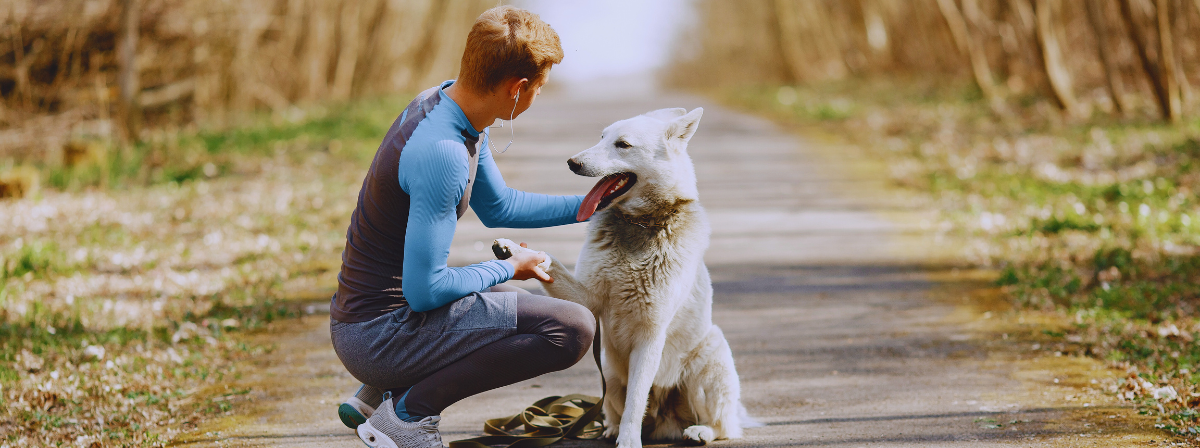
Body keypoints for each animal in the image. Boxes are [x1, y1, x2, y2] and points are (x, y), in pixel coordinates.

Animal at [494, 108, 748, 446]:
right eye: (601, 137)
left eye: (623, 144)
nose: (572, 162)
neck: (640, 224)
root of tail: (665, 422)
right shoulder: (588, 299)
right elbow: (550, 263)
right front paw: (514, 250)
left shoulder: (650, 335)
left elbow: (636, 401)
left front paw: (629, 440)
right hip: (610, 374)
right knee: (610, 409)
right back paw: (609, 428)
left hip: (710, 358)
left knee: (724, 426)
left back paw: (699, 431)